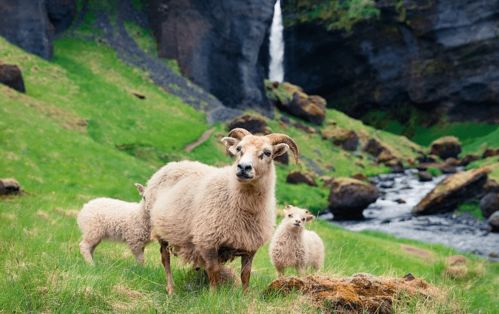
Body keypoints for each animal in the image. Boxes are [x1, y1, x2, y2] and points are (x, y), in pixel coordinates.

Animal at [146, 127, 298, 294]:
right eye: (239, 149)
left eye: (267, 153)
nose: (243, 167)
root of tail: (173, 164)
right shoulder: (208, 242)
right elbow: (213, 272)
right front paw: (213, 295)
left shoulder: (249, 247)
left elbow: (246, 275)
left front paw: (245, 296)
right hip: (160, 229)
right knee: (165, 258)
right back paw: (171, 289)